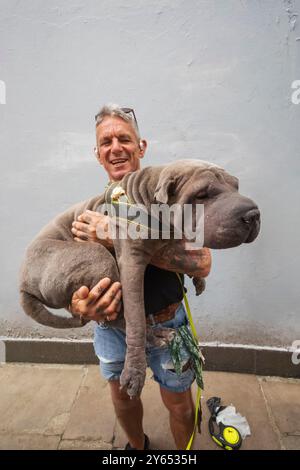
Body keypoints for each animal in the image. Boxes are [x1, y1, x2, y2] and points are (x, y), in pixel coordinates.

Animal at [19, 161, 262, 396]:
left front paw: (198, 279)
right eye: (202, 194)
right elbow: (135, 317)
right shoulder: (130, 261)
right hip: (90, 256)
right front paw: (134, 373)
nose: (253, 215)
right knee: (117, 317)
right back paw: (156, 336)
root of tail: (23, 283)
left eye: (236, 186)